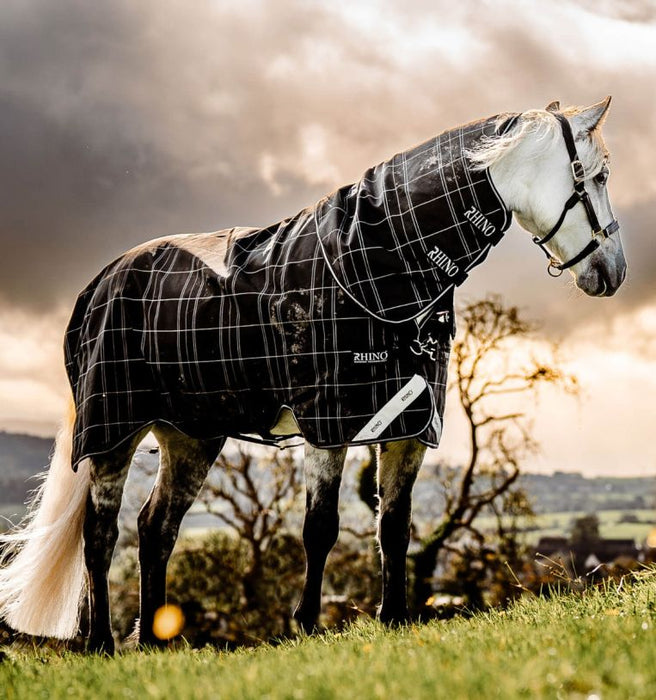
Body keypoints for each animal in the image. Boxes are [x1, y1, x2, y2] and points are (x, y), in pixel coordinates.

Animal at [0, 98, 626, 653]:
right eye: (595, 176)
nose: (614, 271)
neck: (379, 265)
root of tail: (100, 284)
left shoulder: (408, 425)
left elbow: (393, 526)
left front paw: (394, 618)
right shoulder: (328, 424)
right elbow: (320, 526)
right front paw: (306, 624)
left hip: (191, 436)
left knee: (156, 530)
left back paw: (154, 643)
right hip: (114, 432)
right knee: (101, 534)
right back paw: (103, 643)